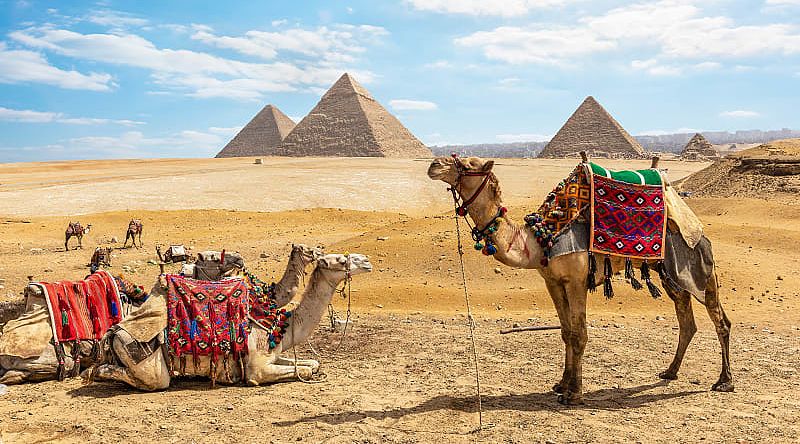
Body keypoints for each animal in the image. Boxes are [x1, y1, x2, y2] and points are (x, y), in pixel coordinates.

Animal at [86, 251, 374, 390]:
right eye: (341, 260)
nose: (367, 261)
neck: (281, 326)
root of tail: (114, 332)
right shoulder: (257, 367)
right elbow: (295, 371)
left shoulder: (271, 353)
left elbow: (311, 364)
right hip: (146, 360)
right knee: (152, 379)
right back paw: (97, 373)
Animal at [428, 156, 736, 406]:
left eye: (467, 163)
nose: (434, 164)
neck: (540, 239)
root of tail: (697, 226)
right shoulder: (553, 281)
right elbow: (566, 332)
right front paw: (561, 383)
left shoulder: (576, 281)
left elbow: (579, 334)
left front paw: (573, 393)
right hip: (671, 276)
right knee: (687, 321)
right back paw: (670, 371)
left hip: (699, 266)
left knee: (720, 320)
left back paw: (724, 381)